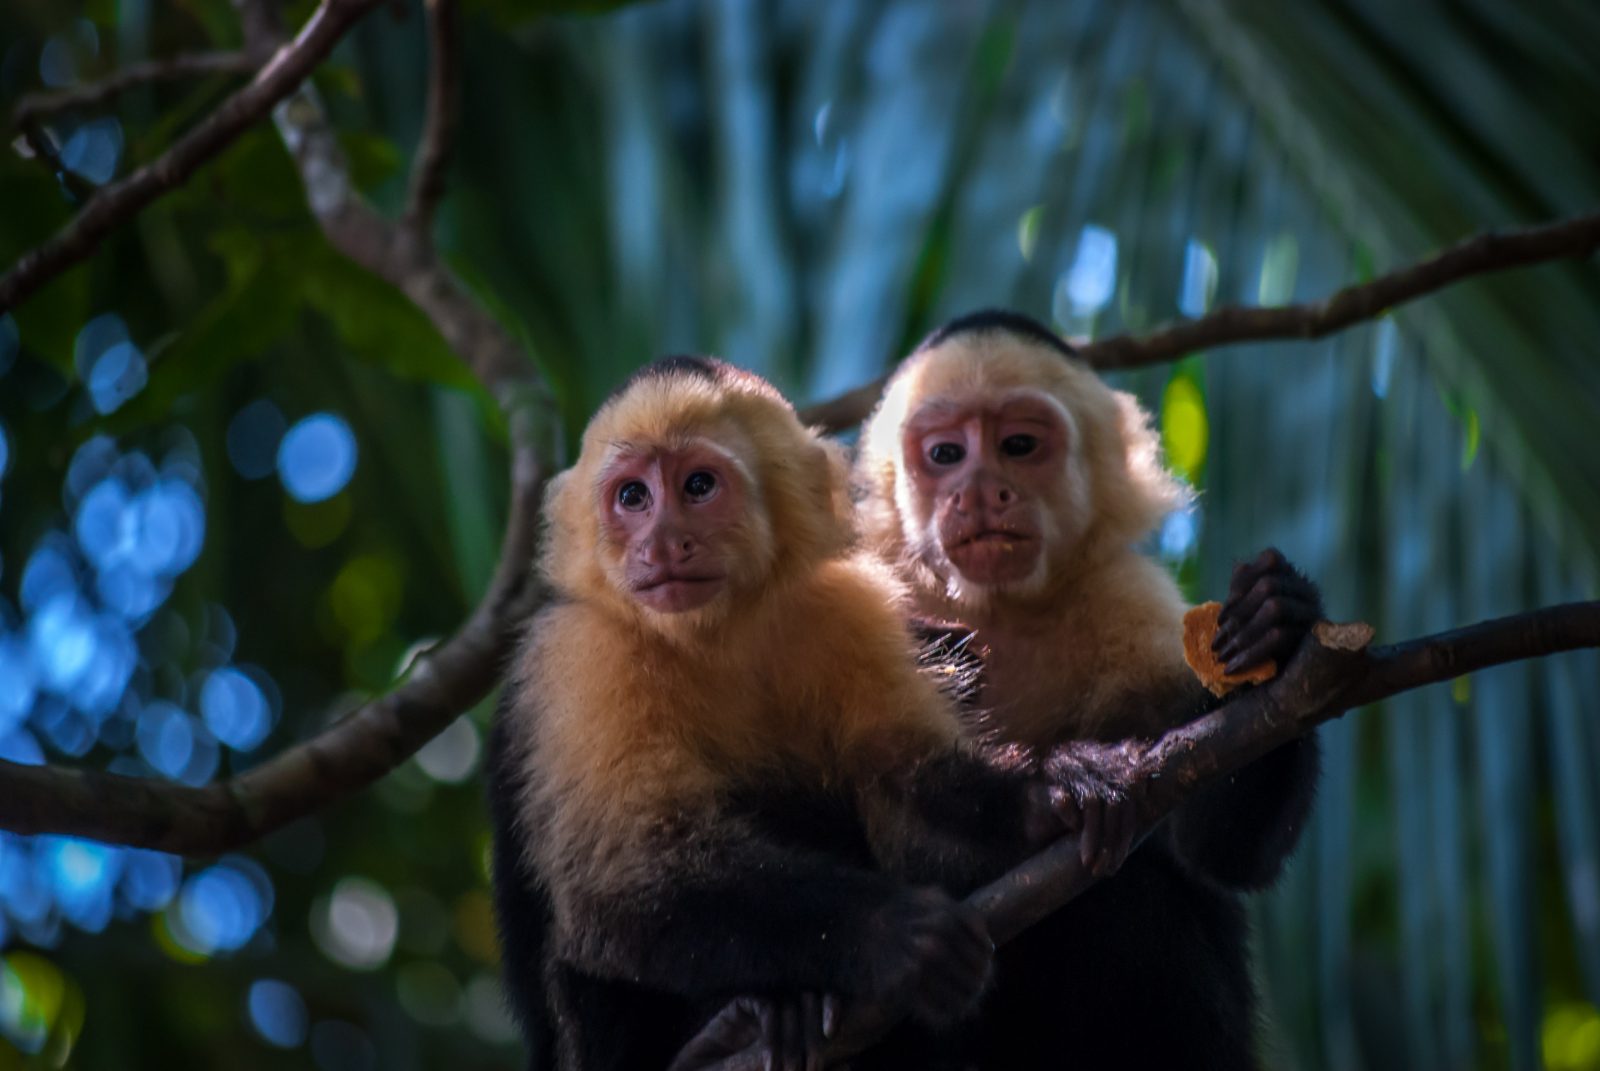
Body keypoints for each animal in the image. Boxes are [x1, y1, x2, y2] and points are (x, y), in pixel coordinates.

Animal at [480, 357, 1094, 1069]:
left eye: (697, 486)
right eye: (632, 497)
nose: (662, 542)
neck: (719, 635)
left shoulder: (847, 605)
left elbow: (911, 776)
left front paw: (1050, 793)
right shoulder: (587, 656)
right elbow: (624, 885)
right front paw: (896, 936)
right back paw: (730, 1030)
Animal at [851, 308, 1324, 1069]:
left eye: (1018, 446)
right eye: (946, 453)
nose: (978, 490)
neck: (996, 611)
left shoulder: (1129, 600)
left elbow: (1216, 844)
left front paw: (1275, 631)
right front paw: (1064, 777)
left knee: (1142, 899)